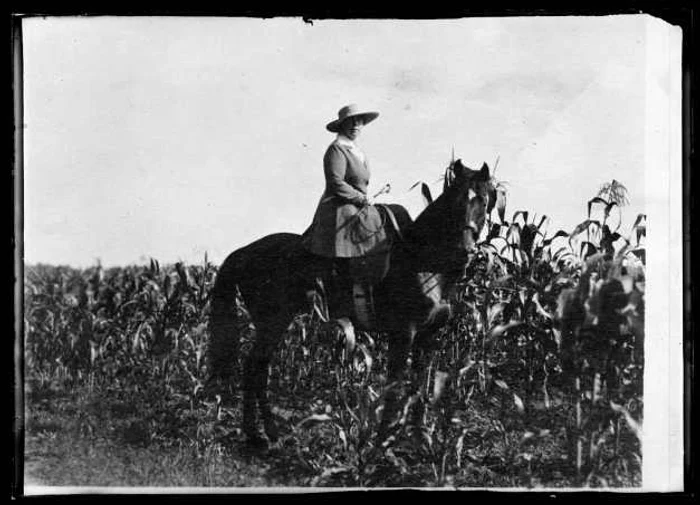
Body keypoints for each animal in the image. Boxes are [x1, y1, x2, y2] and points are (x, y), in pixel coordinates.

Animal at [209, 159, 498, 446]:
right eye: (456, 201)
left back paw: (266, 431)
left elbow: (419, 385)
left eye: (484, 201)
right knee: (254, 367)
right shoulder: (403, 334)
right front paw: (382, 440)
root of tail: (244, 252)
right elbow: (395, 386)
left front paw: (420, 437)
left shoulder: (427, 336)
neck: (422, 262)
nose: (464, 251)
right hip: (272, 322)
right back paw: (256, 433)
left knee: (259, 368)